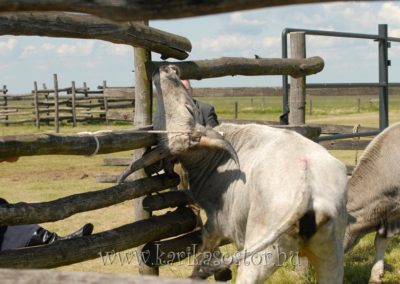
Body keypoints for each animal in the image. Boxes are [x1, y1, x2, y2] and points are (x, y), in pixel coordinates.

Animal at [122, 65, 350, 282]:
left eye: (189, 109)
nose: (166, 69)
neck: (212, 161)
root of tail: (307, 187)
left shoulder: (217, 223)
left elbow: (204, 249)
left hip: (259, 253)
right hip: (331, 257)